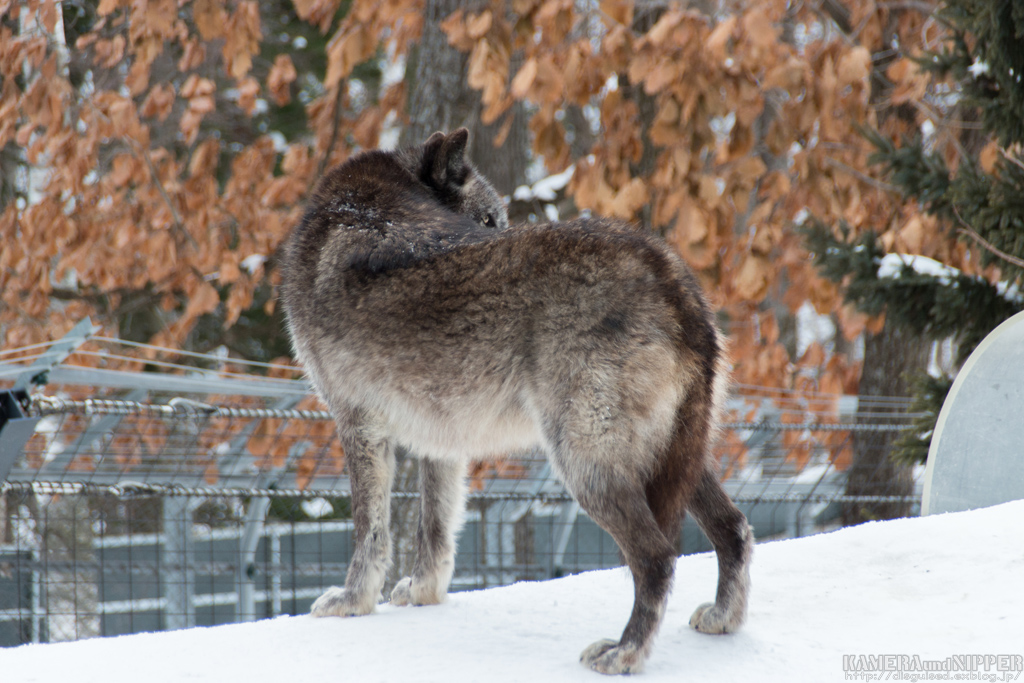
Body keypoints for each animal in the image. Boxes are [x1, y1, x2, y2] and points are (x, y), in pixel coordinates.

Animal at [280, 127, 753, 671]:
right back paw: (722, 619)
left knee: (657, 557)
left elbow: (369, 531)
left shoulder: (358, 425)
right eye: (489, 223)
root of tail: (673, 278)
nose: (496, 230)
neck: (371, 201)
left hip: (587, 464)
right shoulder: (439, 440)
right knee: (734, 528)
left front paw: (352, 602)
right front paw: (423, 593)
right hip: (673, 455)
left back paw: (624, 652)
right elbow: (435, 529)